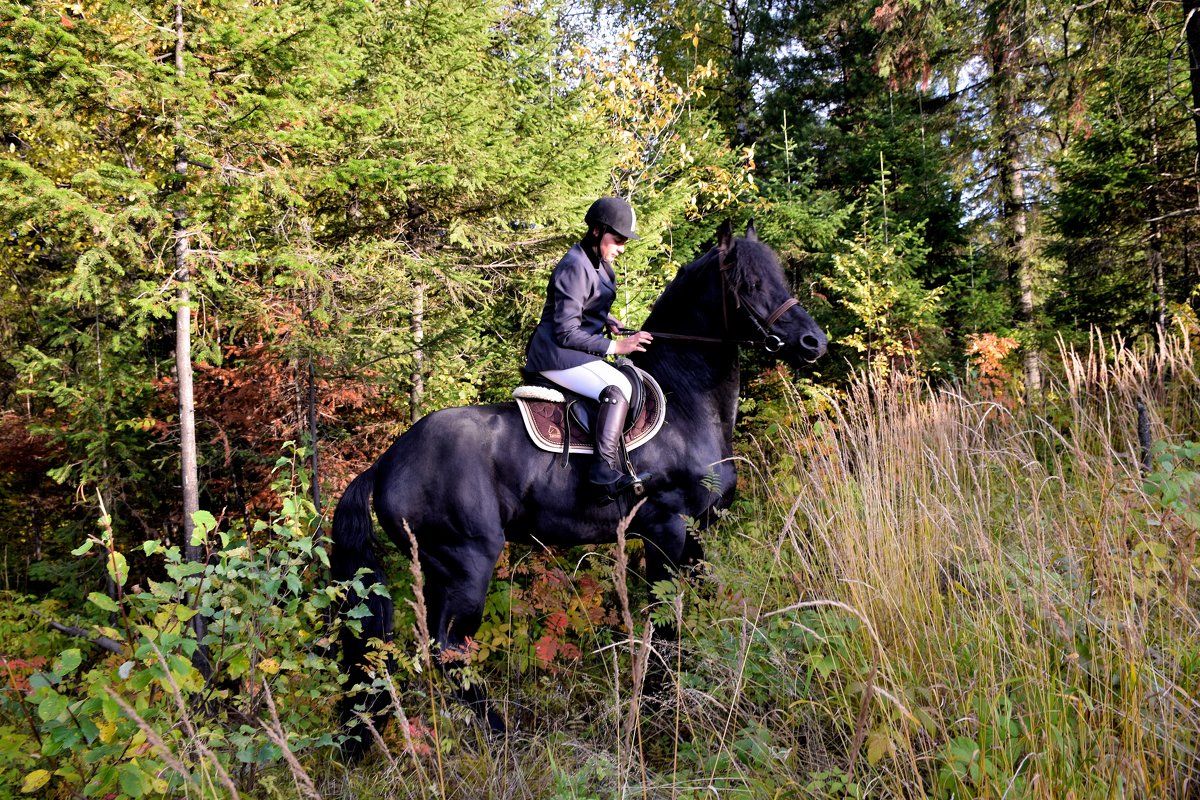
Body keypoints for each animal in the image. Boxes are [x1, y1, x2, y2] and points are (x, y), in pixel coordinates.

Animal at [328, 219, 825, 753]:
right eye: (750, 284)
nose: (814, 342)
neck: (685, 404)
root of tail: (387, 461)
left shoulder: (695, 536)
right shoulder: (667, 531)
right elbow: (666, 626)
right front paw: (659, 716)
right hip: (466, 563)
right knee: (449, 650)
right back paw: (506, 737)